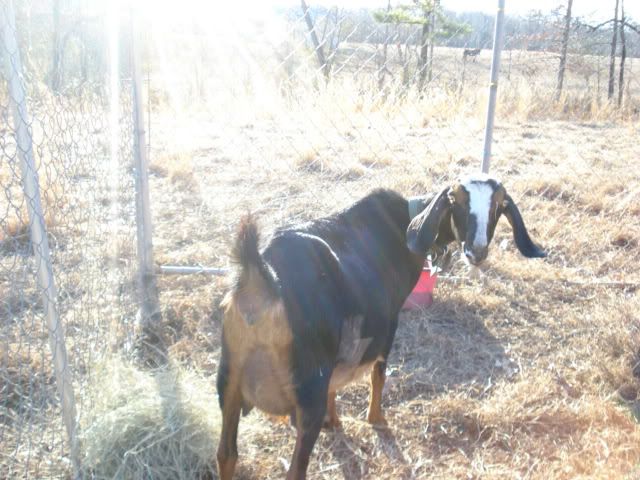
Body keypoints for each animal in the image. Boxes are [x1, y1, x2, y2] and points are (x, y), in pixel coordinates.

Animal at [216, 173, 545, 480]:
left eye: (499, 206)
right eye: (457, 201)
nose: (477, 251)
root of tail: (261, 280)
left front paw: (336, 421)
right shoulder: (390, 320)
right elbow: (379, 373)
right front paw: (376, 418)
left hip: (230, 381)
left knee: (227, 455)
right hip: (308, 389)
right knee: (296, 469)